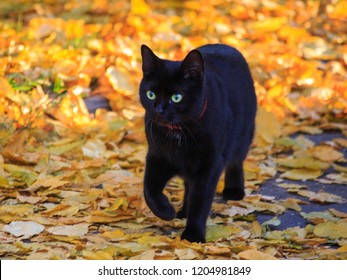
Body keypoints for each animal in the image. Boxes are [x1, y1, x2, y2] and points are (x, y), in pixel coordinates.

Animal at [139, 43, 258, 243]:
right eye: (151, 94)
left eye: (176, 97)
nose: (159, 110)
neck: (179, 132)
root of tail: (225, 46)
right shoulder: (157, 157)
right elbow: (149, 189)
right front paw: (166, 211)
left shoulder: (209, 165)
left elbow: (201, 201)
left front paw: (193, 235)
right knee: (188, 184)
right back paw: (182, 211)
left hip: (243, 136)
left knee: (236, 161)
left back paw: (234, 190)